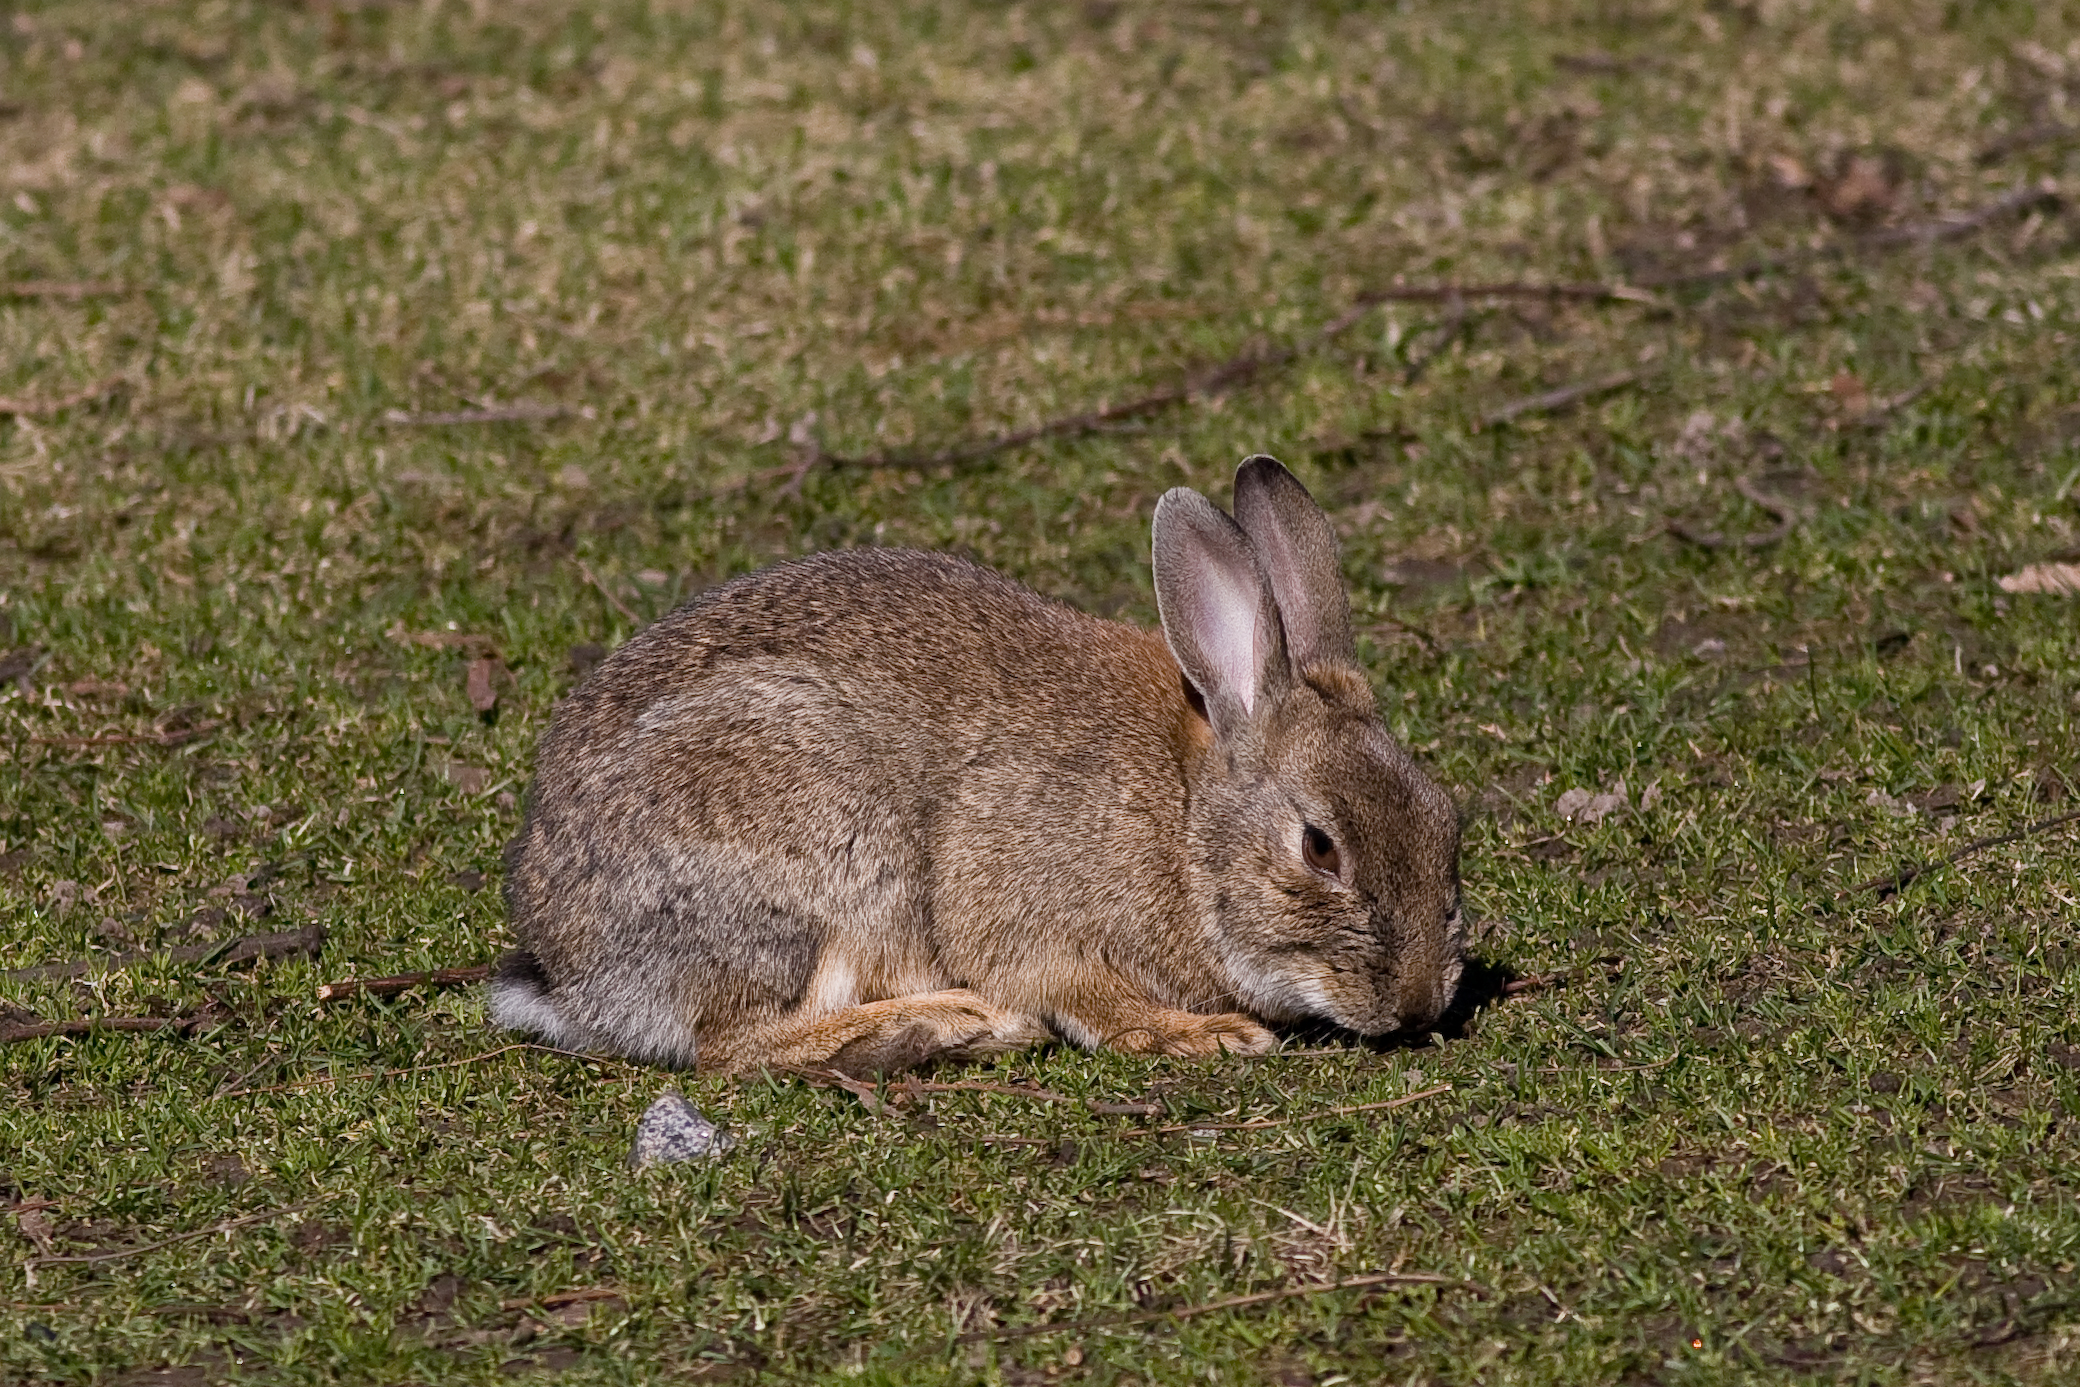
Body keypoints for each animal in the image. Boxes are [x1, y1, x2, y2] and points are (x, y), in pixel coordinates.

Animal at [486, 455, 1464, 1073]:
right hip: (825, 863)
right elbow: (1077, 989)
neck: (1185, 821)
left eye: (1446, 816)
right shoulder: (1018, 898)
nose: (1419, 1004)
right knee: (731, 1045)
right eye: (1319, 847)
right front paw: (1207, 1035)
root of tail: (576, 975)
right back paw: (950, 1024)